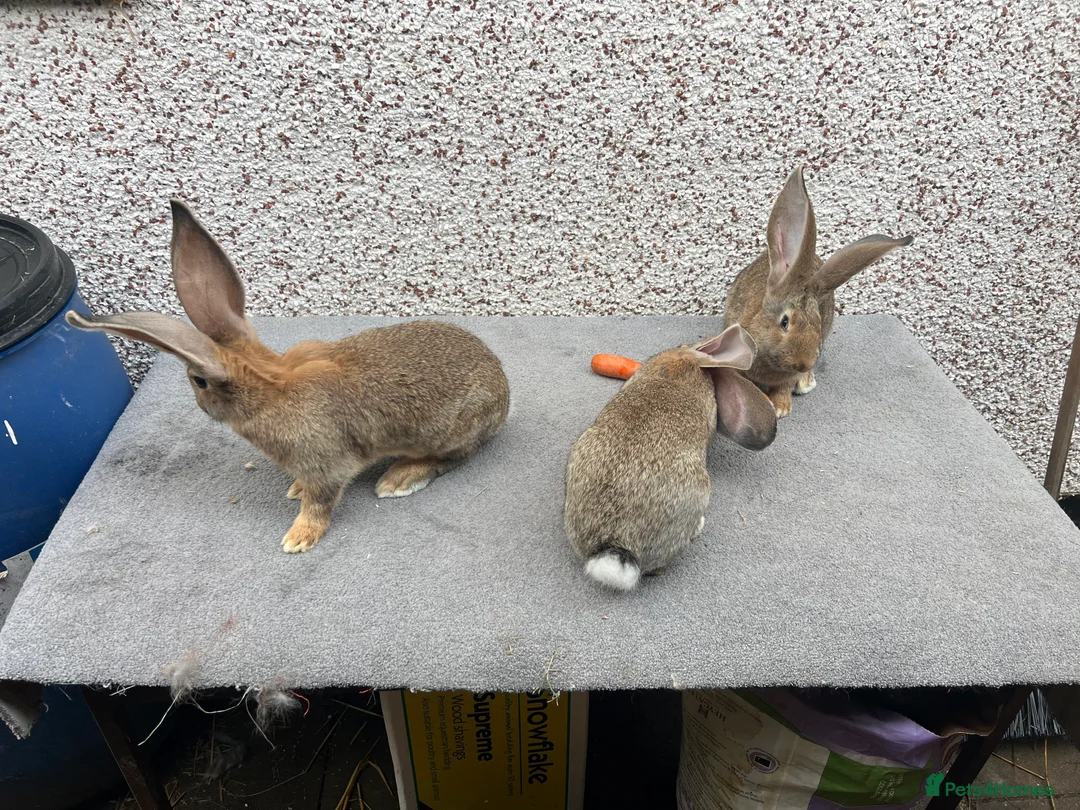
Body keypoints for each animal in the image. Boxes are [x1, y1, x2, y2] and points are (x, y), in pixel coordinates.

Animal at [66, 200, 510, 553]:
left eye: (199, 381)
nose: (201, 406)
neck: (269, 388)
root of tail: (504, 397)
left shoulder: (325, 463)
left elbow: (319, 503)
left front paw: (298, 538)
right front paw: (294, 489)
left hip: (452, 430)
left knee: (452, 457)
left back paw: (398, 479)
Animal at [724, 166, 913, 417]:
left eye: (818, 322)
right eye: (784, 322)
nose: (802, 363)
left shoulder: (786, 377)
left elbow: (783, 387)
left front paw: (781, 408)